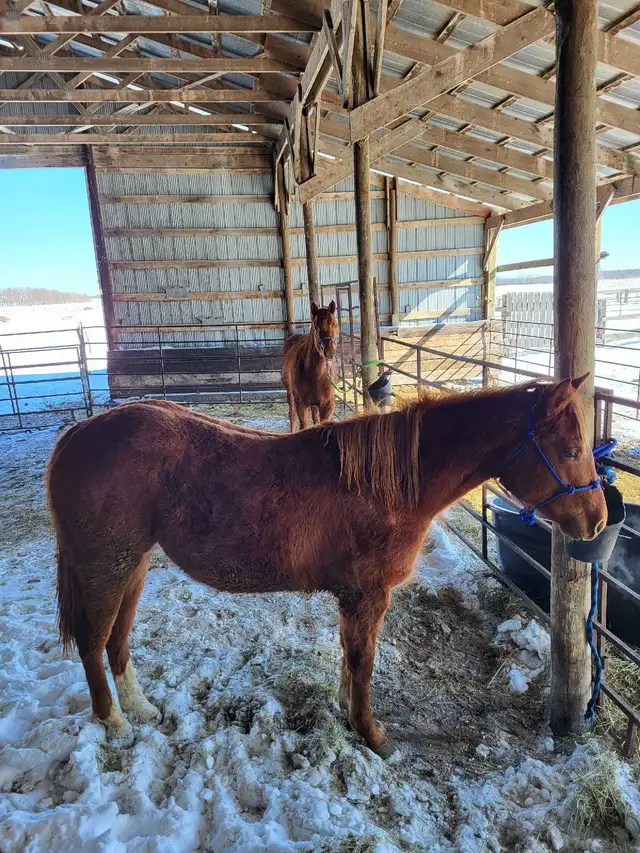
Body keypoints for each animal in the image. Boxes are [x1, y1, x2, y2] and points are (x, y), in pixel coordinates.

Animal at [47, 376, 606, 756]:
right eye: (572, 449)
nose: (597, 520)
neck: (389, 485)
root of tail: (78, 434)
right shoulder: (369, 594)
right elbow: (364, 663)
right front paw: (372, 734)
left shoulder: (353, 597)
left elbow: (348, 657)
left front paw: (345, 709)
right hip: (106, 565)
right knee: (93, 643)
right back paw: (115, 725)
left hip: (133, 565)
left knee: (116, 641)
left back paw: (140, 709)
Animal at [281, 301, 339, 431]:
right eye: (316, 326)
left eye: (334, 324)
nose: (329, 352)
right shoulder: (301, 405)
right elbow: (303, 426)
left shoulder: (327, 406)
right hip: (290, 395)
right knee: (292, 415)